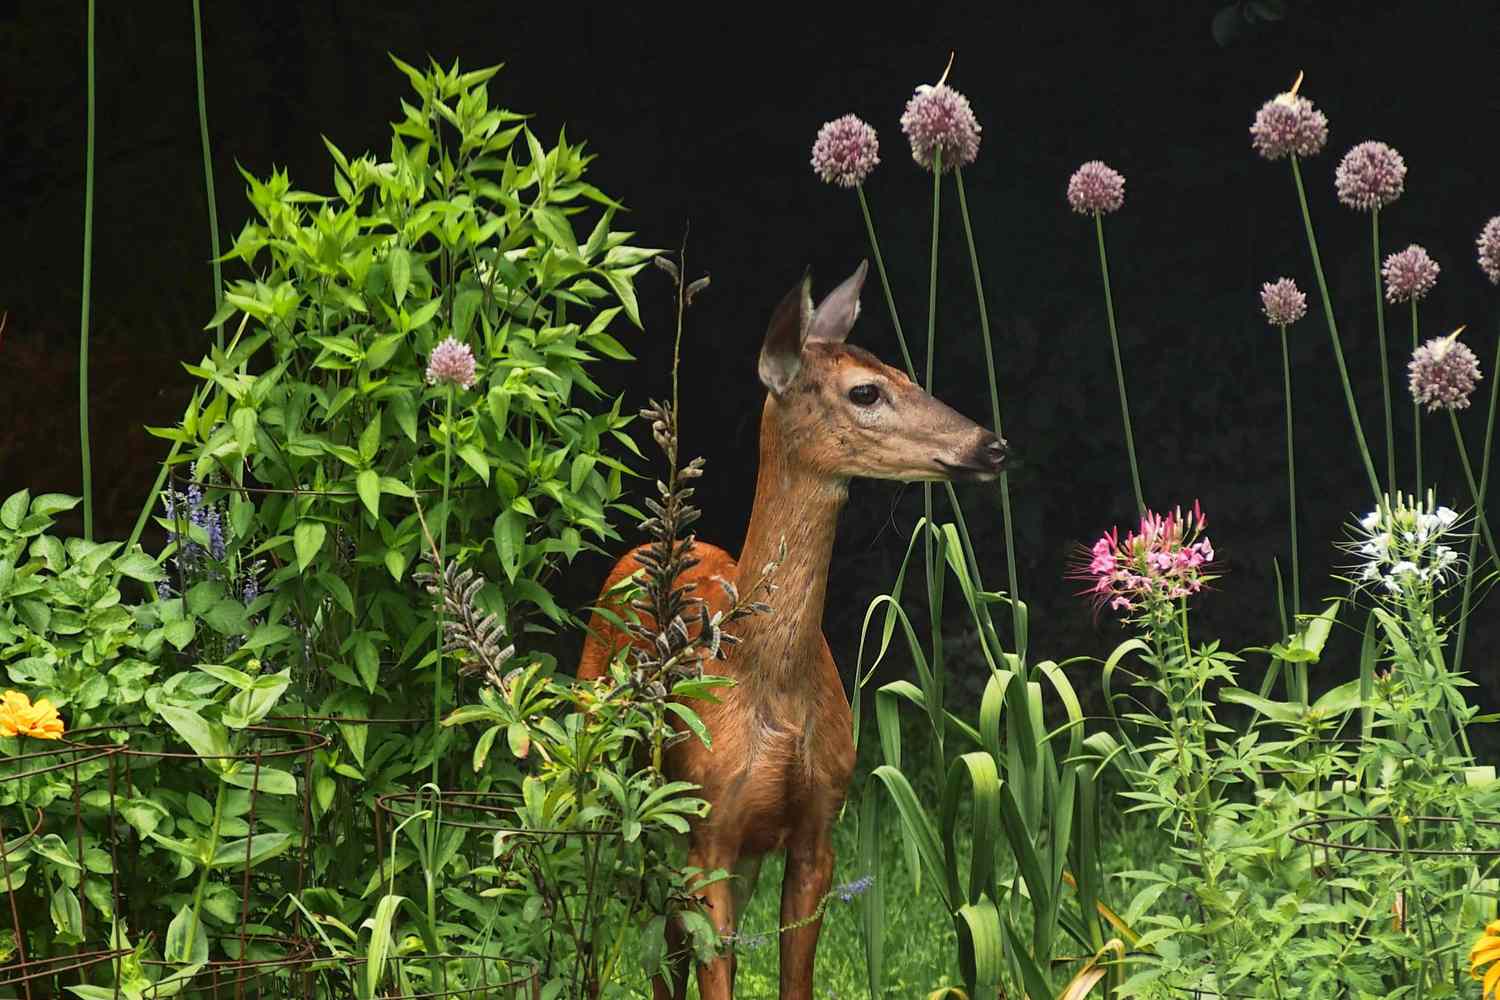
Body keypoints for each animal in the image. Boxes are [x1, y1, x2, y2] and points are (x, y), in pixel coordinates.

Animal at [575, 261, 1007, 1000]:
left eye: (903, 370)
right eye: (864, 391)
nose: (992, 444)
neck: (765, 678)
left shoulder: (817, 828)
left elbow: (790, 977)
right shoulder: (711, 831)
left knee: (665, 942)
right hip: (602, 779)